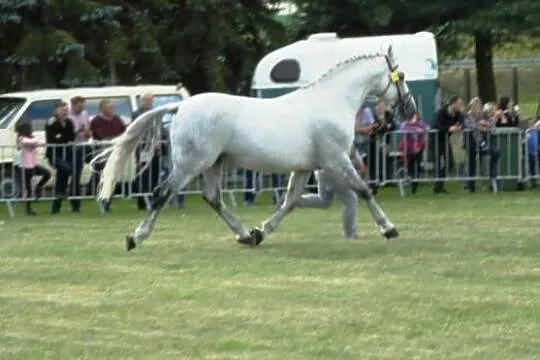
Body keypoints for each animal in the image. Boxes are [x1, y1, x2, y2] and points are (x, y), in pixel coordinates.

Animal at [92, 46, 418, 252]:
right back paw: (136, 237)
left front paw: (261, 231)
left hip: (214, 164)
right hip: (191, 164)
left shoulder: (304, 168)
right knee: (162, 193)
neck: (332, 101)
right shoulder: (336, 159)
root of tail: (180, 106)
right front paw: (389, 228)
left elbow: (289, 202)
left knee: (213, 198)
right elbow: (363, 190)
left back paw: (244, 235)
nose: (410, 109)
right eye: (401, 77)